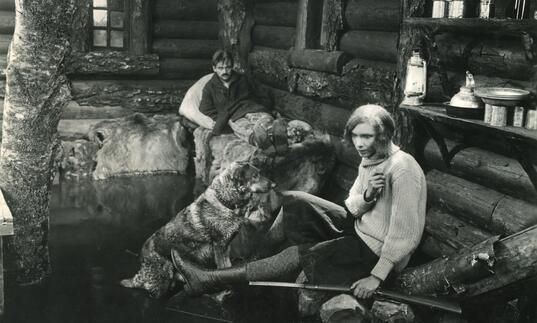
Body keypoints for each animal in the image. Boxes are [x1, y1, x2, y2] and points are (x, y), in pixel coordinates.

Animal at [121, 162, 276, 298]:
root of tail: (141, 263)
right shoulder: (220, 246)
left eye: (259, 173)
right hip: (164, 276)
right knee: (153, 293)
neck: (225, 201)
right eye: (255, 175)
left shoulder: (226, 247)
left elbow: (228, 266)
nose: (275, 184)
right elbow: (224, 268)